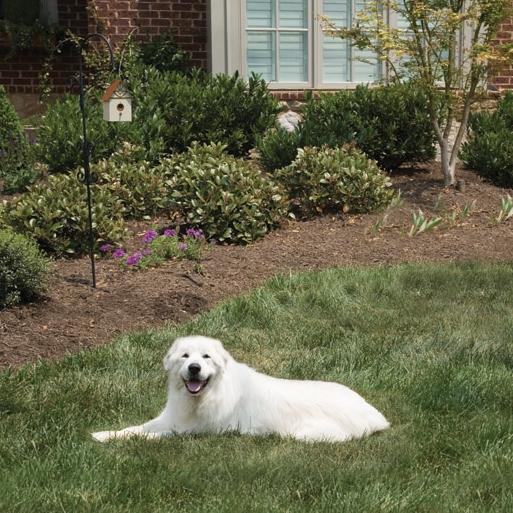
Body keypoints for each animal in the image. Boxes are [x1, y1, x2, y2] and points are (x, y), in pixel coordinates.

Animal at [92, 335, 389, 443]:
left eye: (206, 357)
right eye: (185, 356)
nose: (194, 369)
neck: (206, 395)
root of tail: (376, 415)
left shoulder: (194, 431)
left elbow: (149, 436)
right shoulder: (171, 418)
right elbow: (134, 428)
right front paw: (104, 434)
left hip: (306, 435)